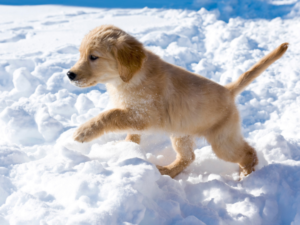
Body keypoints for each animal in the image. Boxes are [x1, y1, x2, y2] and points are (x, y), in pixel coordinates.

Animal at [68, 24, 288, 178]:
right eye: (80, 55)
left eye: (93, 57)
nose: (70, 74)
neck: (130, 77)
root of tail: (228, 90)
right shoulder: (135, 114)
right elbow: (130, 131)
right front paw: (128, 146)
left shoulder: (143, 114)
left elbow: (110, 115)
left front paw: (83, 132)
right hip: (181, 134)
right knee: (188, 157)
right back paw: (167, 171)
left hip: (222, 141)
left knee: (248, 152)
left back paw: (246, 176)